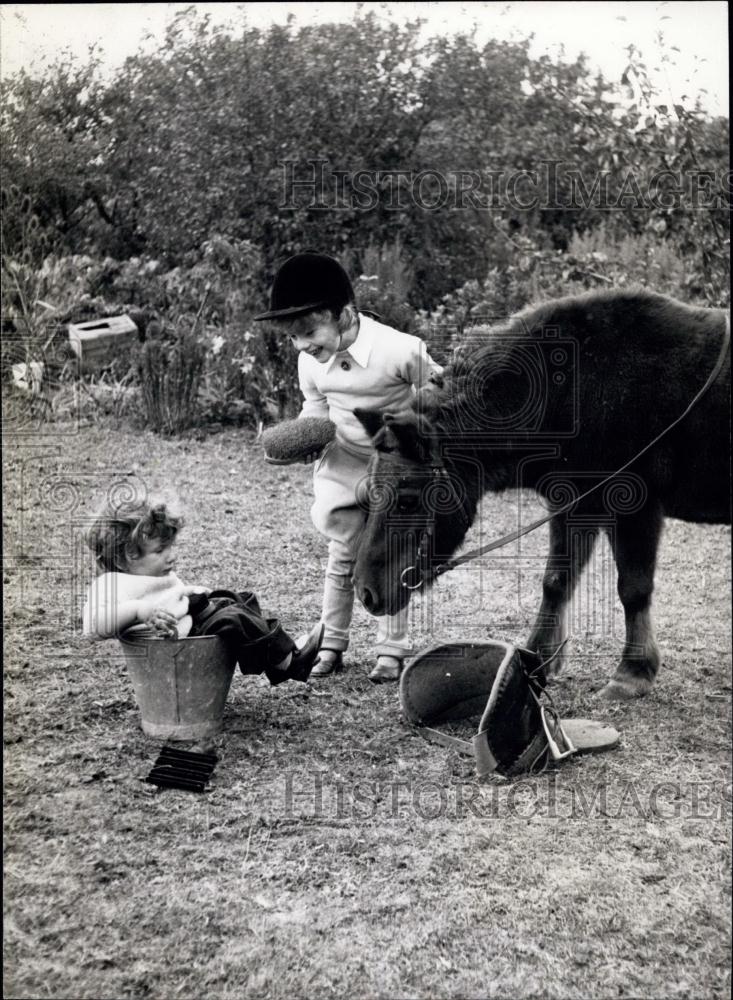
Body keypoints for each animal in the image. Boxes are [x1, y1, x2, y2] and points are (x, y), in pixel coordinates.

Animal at [352, 288, 728, 696]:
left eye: (407, 500)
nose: (365, 592)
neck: (570, 390)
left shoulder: (635, 509)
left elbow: (633, 588)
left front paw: (632, 672)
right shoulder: (574, 504)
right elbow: (556, 582)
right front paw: (537, 659)